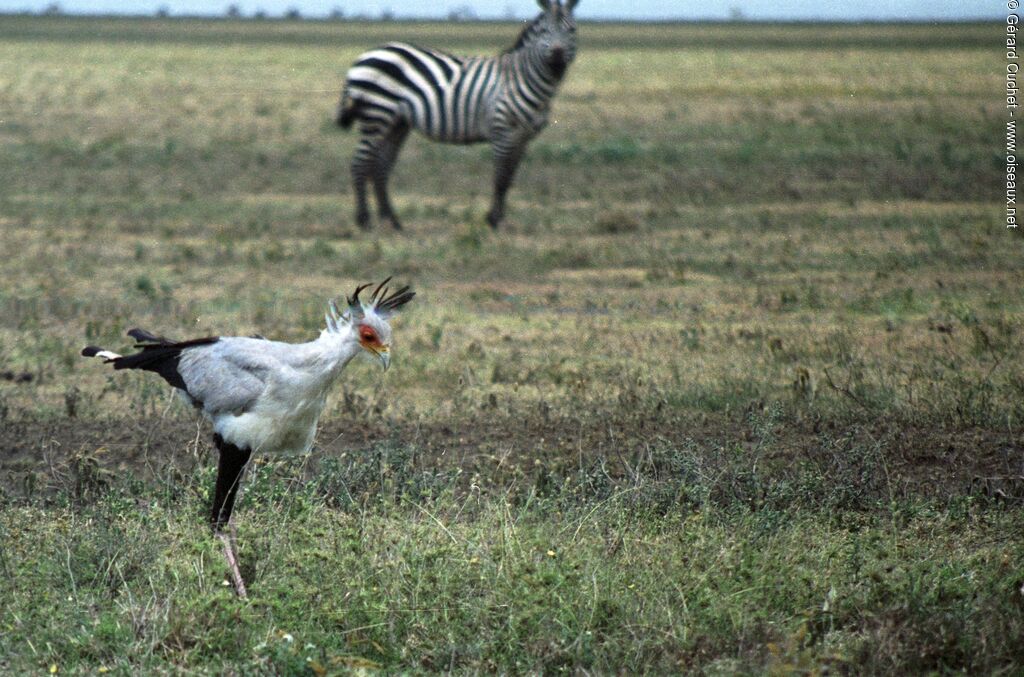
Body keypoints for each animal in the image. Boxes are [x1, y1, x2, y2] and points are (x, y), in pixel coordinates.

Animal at [333, 0, 577, 229]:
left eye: (572, 30)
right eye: (544, 31)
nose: (557, 55)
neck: (521, 78)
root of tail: (363, 56)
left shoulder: (523, 138)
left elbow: (509, 178)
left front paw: (497, 218)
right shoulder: (503, 130)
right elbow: (500, 177)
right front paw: (494, 220)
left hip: (396, 122)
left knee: (380, 166)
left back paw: (392, 221)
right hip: (377, 113)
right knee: (360, 163)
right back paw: (363, 220)